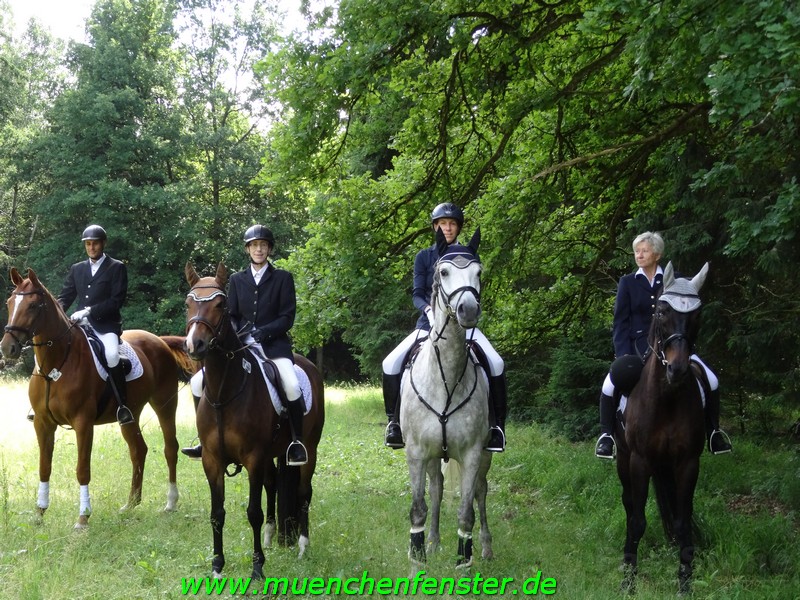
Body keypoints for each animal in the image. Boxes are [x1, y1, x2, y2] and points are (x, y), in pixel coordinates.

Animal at [0, 270, 182, 528]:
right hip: (130, 414)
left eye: (33, 305)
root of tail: (160, 341)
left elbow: (82, 469)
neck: (56, 365)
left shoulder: (83, 423)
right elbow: (44, 467)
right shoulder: (43, 424)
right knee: (138, 450)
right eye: (9, 303)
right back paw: (131, 504)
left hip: (165, 403)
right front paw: (39, 513)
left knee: (170, 448)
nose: (7, 348)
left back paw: (170, 503)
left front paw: (83, 518)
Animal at [184, 262, 324, 580]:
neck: (225, 391)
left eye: (220, 305)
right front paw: (217, 565)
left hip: (308, 450)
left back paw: (303, 546)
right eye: (188, 303)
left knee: (304, 492)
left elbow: (253, 513)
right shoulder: (212, 460)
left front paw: (258, 567)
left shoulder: (253, 457)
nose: (195, 345)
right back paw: (272, 536)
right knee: (273, 485)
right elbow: (217, 514)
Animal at [400, 227, 494, 568]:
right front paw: (417, 560)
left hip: (486, 456)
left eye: (479, 272)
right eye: (443, 272)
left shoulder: (472, 454)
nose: (469, 310)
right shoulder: (416, 453)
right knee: (437, 491)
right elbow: (419, 507)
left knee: (481, 493)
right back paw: (433, 542)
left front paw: (464, 563)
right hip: (431, 458)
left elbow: (467, 513)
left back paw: (486, 548)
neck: (446, 380)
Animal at [616, 262, 708, 596]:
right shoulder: (639, 460)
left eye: (697, 314)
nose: (677, 369)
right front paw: (628, 580)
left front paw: (685, 581)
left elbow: (683, 521)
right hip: (623, 459)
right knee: (629, 504)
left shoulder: (687, 462)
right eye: (662, 312)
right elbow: (637, 520)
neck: (666, 398)